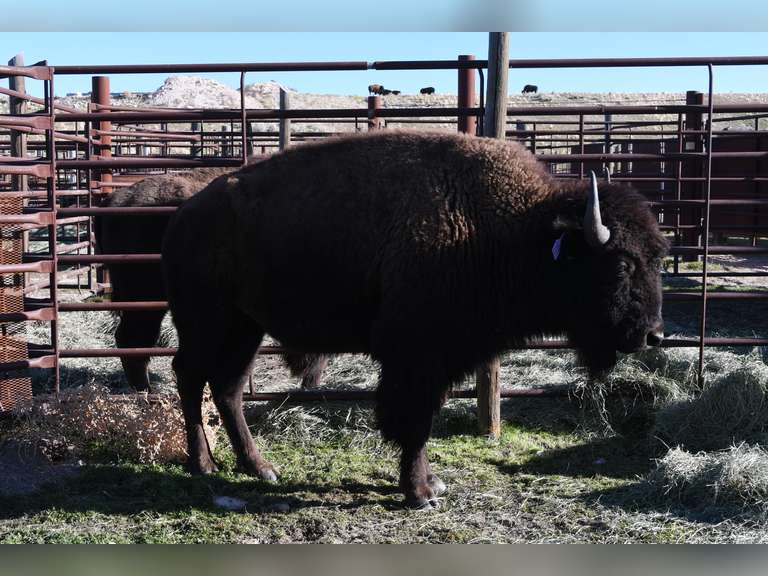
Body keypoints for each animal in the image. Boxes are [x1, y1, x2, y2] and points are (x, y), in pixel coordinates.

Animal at [162, 131, 668, 509]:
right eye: (620, 264)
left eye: (658, 257)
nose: (653, 334)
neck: (517, 231)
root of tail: (184, 215)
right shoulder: (418, 360)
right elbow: (414, 422)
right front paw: (420, 492)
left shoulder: (441, 360)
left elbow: (422, 419)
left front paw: (428, 484)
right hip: (207, 322)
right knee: (190, 376)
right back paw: (203, 465)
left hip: (244, 328)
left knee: (227, 388)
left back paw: (260, 468)